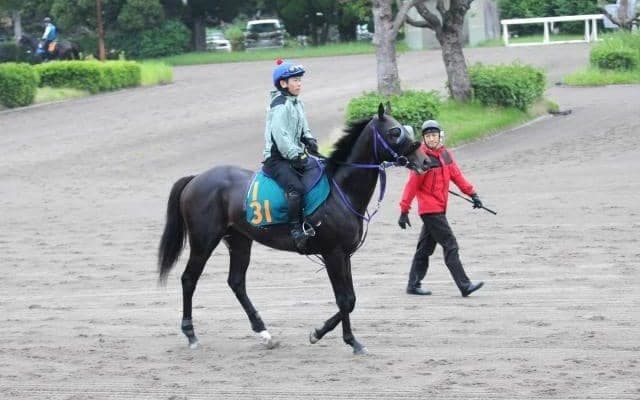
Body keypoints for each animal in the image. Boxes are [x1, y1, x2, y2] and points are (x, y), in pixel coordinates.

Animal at [157, 104, 432, 355]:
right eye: (395, 132)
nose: (426, 161)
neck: (340, 191)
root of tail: (196, 178)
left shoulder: (345, 255)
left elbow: (351, 300)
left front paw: (318, 332)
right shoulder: (333, 254)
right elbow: (344, 299)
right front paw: (352, 342)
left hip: (240, 240)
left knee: (236, 282)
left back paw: (264, 333)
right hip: (203, 240)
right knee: (189, 279)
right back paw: (191, 333)